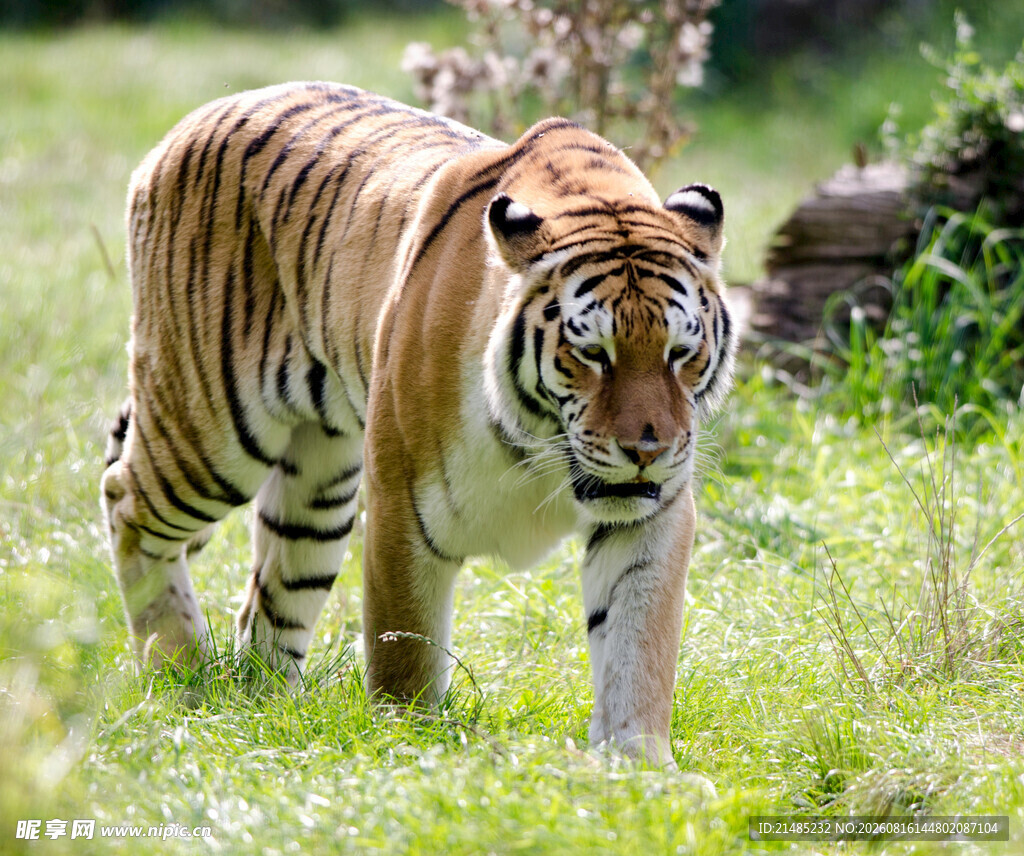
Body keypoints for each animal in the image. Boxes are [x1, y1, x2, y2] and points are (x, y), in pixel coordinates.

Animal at [100, 81, 735, 767]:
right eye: (592, 354)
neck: (539, 442)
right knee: (125, 497)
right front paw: (409, 748)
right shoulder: (403, 502)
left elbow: (637, 643)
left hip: (318, 489)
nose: (648, 449)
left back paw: (266, 705)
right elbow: (403, 640)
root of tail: (191, 120)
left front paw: (638, 763)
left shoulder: (650, 516)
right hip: (213, 428)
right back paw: (179, 667)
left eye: (680, 353)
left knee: (269, 598)